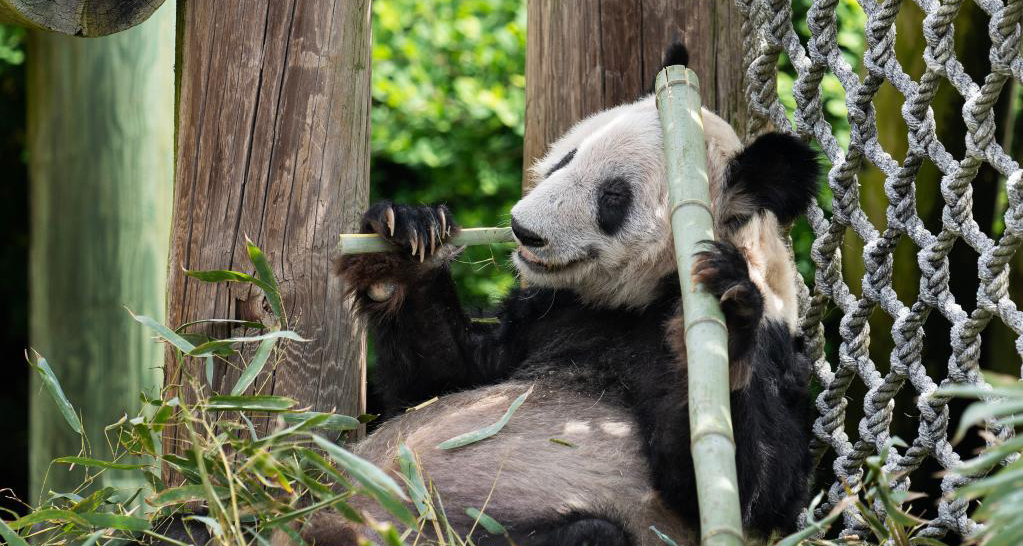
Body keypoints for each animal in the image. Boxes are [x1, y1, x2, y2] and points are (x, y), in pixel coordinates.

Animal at [276, 46, 818, 546]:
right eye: (567, 158)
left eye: (613, 197)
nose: (524, 231)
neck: (637, 301)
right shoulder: (549, 314)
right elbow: (440, 379)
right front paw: (405, 240)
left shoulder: (772, 349)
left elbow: (751, 489)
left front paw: (727, 312)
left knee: (592, 533)